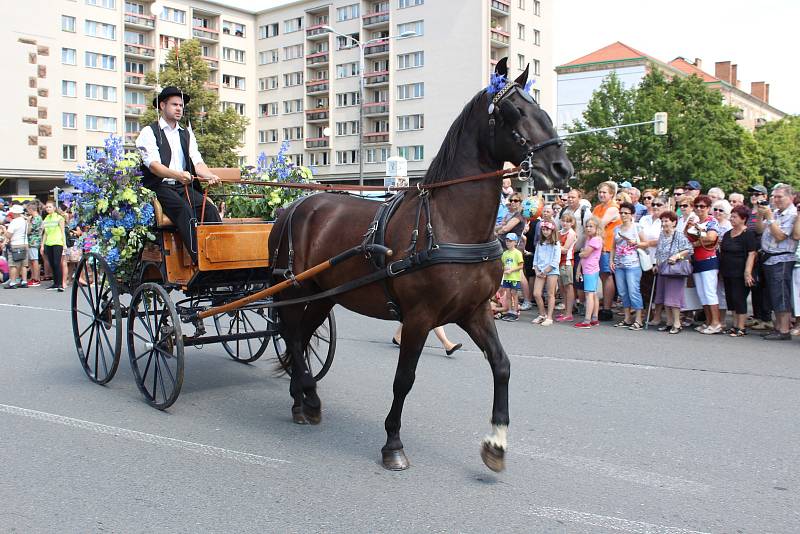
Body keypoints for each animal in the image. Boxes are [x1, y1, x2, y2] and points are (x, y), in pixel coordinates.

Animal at [272, 59, 572, 474]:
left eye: (541, 110)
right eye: (514, 112)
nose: (561, 168)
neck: (449, 224)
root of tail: (293, 206)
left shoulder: (475, 311)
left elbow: (501, 365)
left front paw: (496, 442)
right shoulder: (419, 316)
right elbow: (404, 379)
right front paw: (393, 443)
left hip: (324, 295)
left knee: (299, 338)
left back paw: (302, 399)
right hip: (295, 290)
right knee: (291, 334)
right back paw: (308, 396)